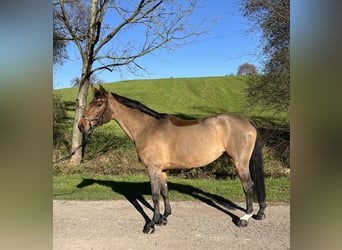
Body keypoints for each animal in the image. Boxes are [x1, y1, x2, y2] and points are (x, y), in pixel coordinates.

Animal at [79, 85, 266, 233]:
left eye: (98, 104)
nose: (82, 126)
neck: (148, 128)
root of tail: (247, 121)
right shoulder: (162, 170)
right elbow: (165, 192)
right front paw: (164, 218)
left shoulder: (153, 168)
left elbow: (155, 195)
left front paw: (151, 224)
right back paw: (259, 213)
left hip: (240, 162)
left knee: (248, 186)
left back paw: (245, 218)